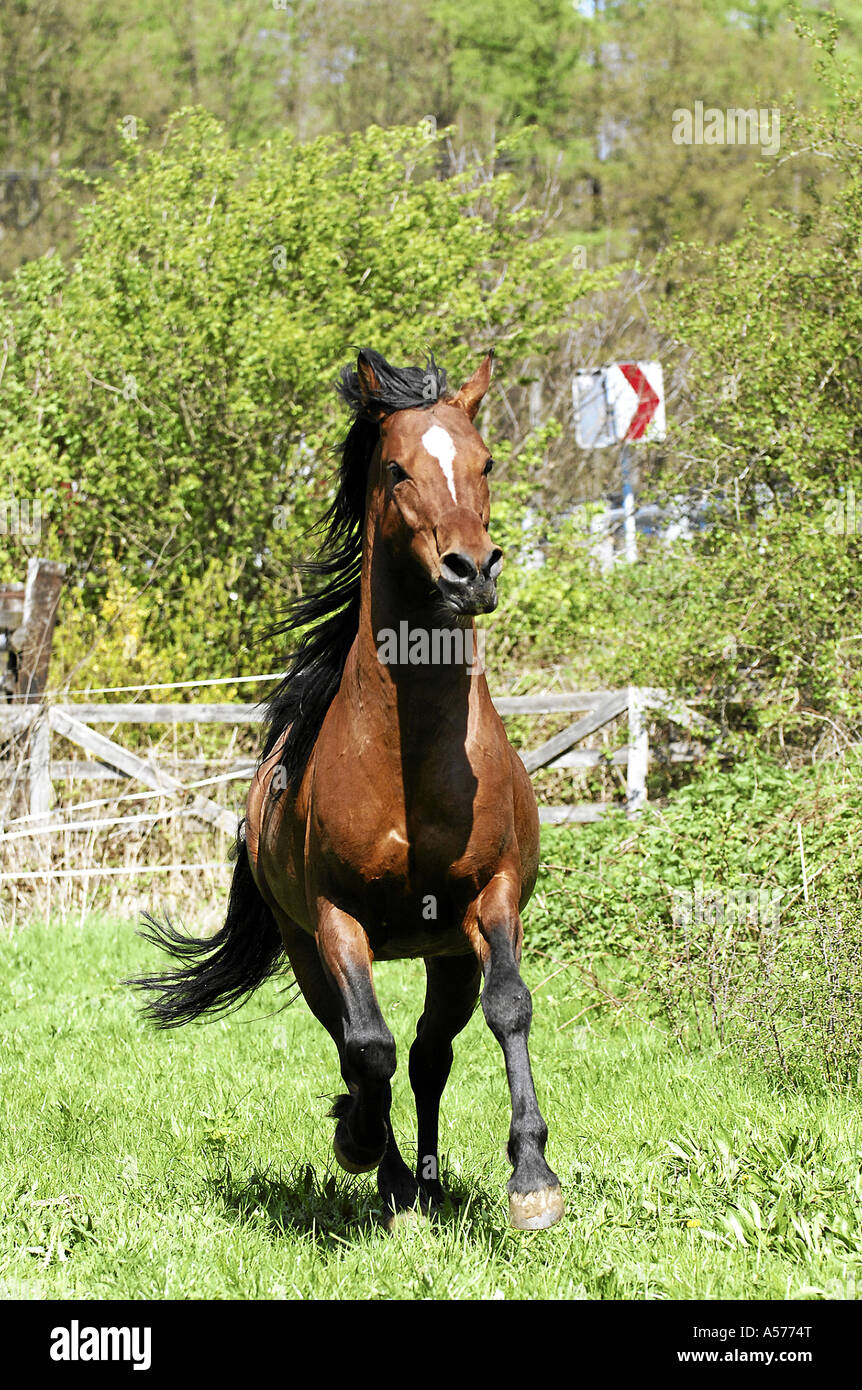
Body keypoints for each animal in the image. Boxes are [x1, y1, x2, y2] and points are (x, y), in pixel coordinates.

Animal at [132, 353, 564, 1234]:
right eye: (397, 469)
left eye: (486, 464)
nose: (471, 572)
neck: (411, 760)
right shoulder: (337, 920)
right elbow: (366, 1045)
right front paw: (363, 1151)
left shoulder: (493, 897)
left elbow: (509, 1007)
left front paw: (533, 1180)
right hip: (306, 950)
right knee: (360, 1045)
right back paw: (394, 1178)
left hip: (444, 952)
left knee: (431, 1054)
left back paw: (430, 1182)